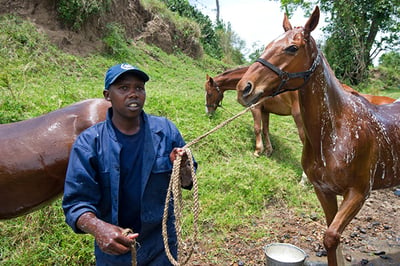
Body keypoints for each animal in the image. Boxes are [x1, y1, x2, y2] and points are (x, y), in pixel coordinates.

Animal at [206, 67, 394, 157]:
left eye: (208, 92)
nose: (208, 112)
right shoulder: (266, 111)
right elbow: (266, 130)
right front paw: (268, 150)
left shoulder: (256, 108)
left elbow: (257, 129)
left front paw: (258, 150)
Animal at [236, 5, 400, 264]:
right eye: (269, 44)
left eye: (292, 48)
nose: (244, 88)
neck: (335, 134)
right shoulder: (324, 191)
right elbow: (332, 239)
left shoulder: (359, 193)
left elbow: (331, 237)